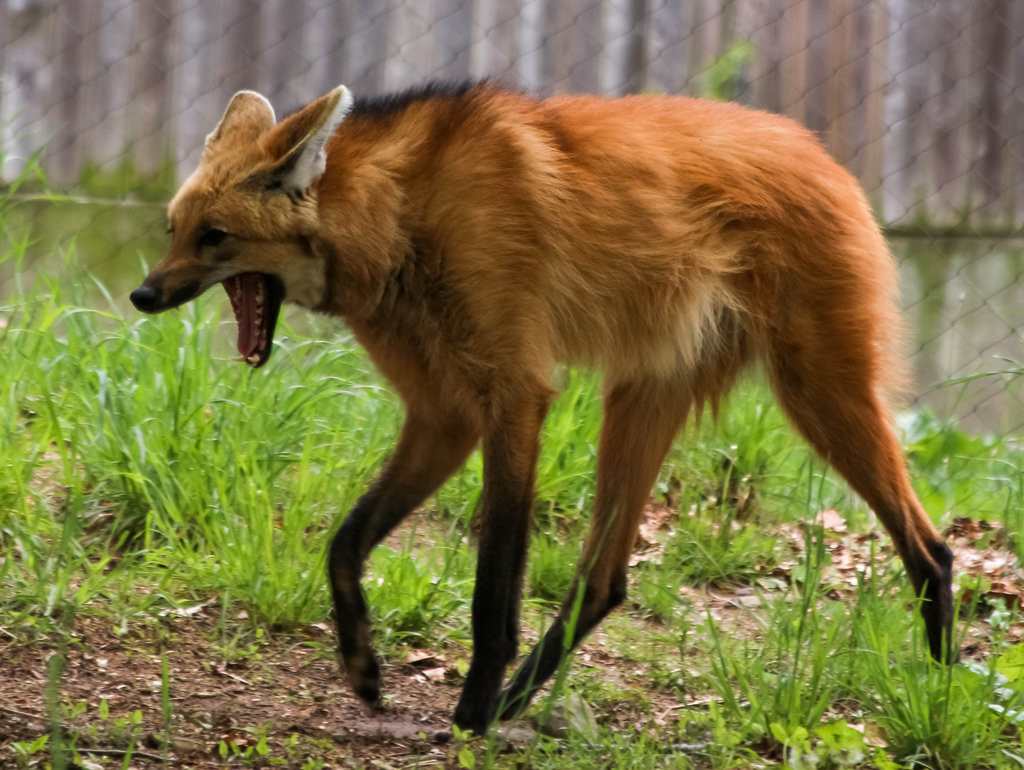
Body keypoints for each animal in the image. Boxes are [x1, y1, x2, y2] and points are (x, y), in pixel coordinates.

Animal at [130, 79, 958, 733]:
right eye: (174, 229)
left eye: (215, 237)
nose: (143, 294)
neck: (400, 215)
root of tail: (826, 155)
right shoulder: (446, 415)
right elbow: (345, 541)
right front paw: (366, 667)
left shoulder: (514, 394)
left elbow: (493, 585)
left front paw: (464, 717)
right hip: (646, 390)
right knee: (605, 577)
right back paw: (514, 703)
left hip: (817, 389)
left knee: (930, 548)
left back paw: (948, 697)